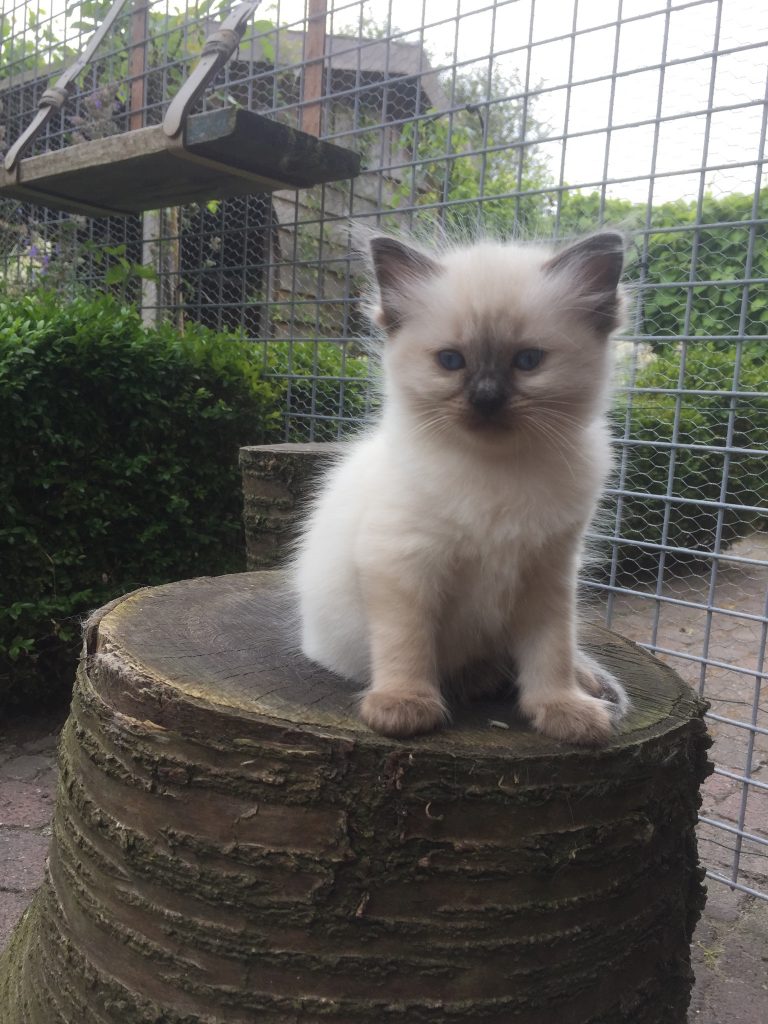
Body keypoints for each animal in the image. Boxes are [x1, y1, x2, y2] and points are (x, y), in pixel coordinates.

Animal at [294, 232, 630, 745]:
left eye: (527, 361)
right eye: (451, 361)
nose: (486, 398)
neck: (496, 472)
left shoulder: (548, 572)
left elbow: (551, 652)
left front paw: (562, 710)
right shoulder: (403, 564)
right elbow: (407, 645)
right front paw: (404, 705)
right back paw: (477, 679)